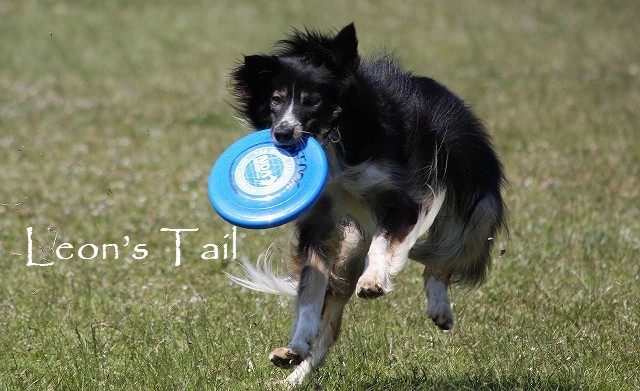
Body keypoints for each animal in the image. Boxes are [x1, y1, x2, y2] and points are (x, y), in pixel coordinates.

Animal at [225, 23, 504, 384]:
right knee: (331, 324)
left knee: (442, 258)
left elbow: (383, 246)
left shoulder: (402, 202)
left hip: (476, 203)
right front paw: (294, 348)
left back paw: (439, 306)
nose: (283, 134)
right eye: (276, 99)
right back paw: (297, 373)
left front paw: (373, 282)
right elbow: (310, 290)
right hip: (348, 250)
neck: (334, 135)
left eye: (313, 100)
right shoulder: (319, 222)